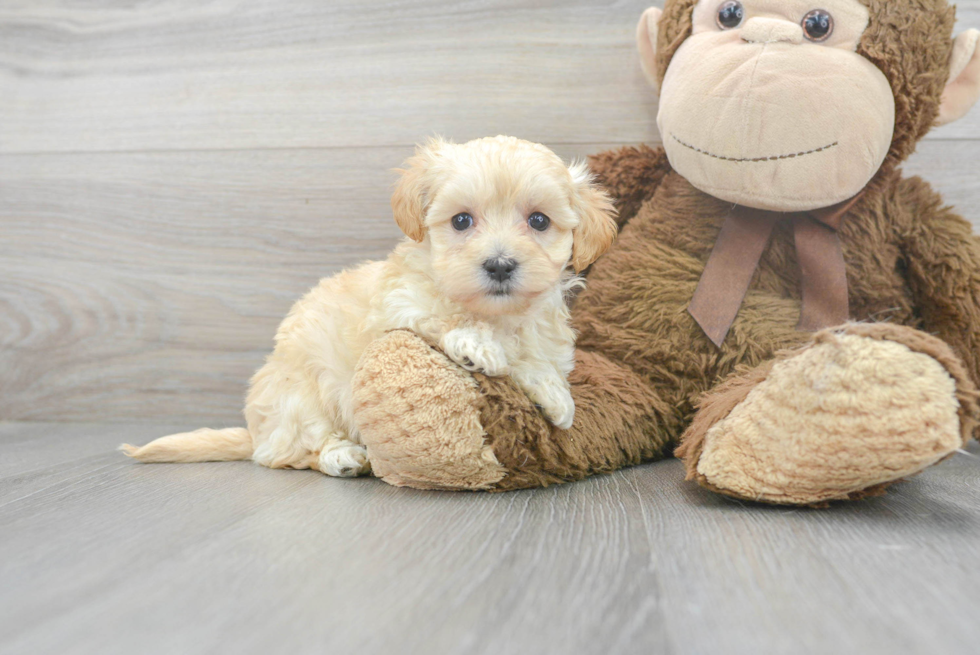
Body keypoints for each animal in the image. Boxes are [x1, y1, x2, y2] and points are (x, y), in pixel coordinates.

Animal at [120, 136, 612, 480]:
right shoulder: (398, 307)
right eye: (461, 221)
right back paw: (342, 456)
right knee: (290, 452)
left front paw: (555, 395)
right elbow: (442, 317)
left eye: (539, 221)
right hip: (300, 394)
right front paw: (478, 345)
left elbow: (537, 359)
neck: (498, 313)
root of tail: (256, 428)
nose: (499, 265)